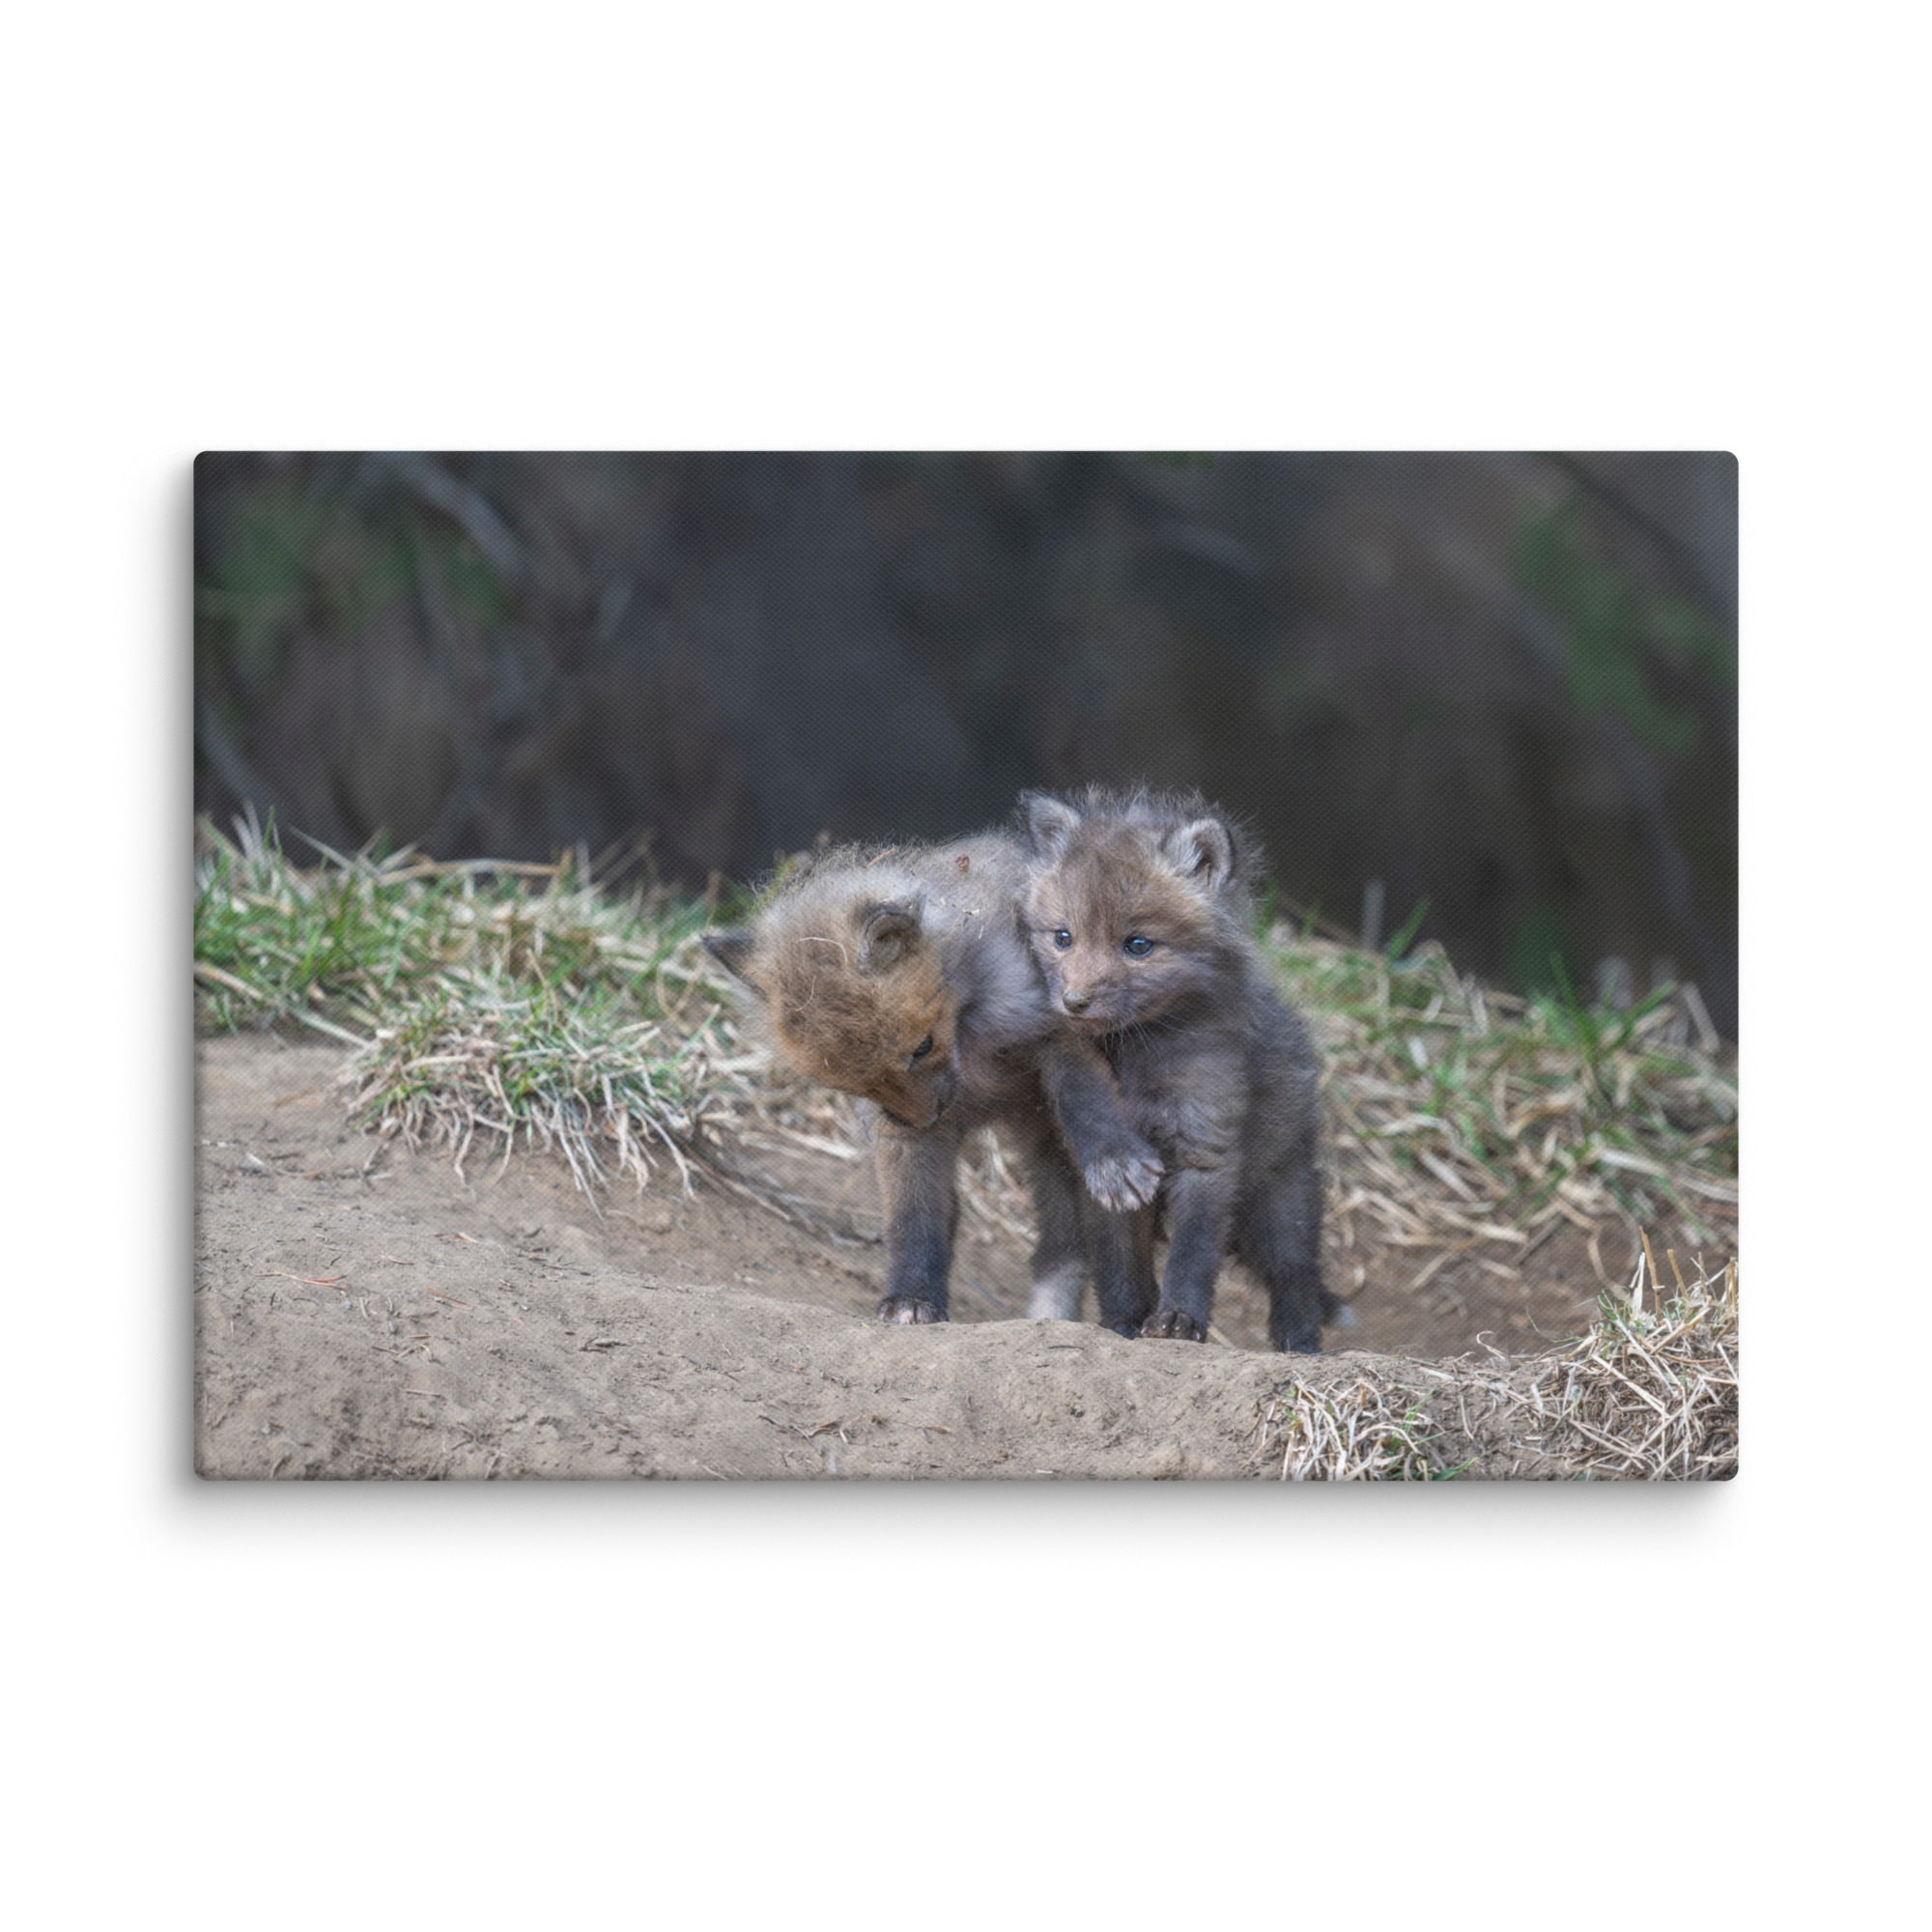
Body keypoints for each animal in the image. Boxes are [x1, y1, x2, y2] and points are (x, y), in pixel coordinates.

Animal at [702, 832, 1164, 1327]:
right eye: (852, 1084)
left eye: (922, 1047)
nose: (926, 1119)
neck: (972, 1040)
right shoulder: (899, 1132)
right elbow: (913, 1217)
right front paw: (912, 1297)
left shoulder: (1058, 1025)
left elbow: (1085, 1098)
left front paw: (1113, 1158)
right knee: (1055, 1244)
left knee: (1110, 1247)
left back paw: (1127, 1320)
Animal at [1016, 786, 1341, 1353]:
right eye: (1063, 938)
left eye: (1138, 945)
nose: (1073, 1002)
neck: (1137, 1058)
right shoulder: (1108, 1179)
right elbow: (1120, 1266)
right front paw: (1124, 1325)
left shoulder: (1205, 1148)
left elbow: (1193, 1254)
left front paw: (1178, 1322)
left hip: (1281, 1201)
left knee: (1296, 1276)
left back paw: (1299, 1347)